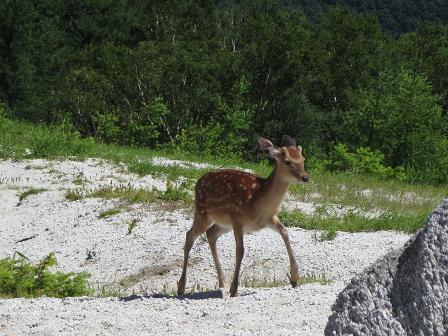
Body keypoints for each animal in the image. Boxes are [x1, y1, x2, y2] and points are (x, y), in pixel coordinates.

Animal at [177, 134, 310, 296]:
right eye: (287, 161)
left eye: (303, 159)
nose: (305, 177)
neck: (258, 201)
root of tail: (197, 182)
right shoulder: (237, 218)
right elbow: (240, 250)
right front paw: (235, 289)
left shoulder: (270, 219)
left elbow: (285, 232)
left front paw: (295, 278)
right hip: (203, 213)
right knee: (190, 235)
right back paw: (181, 287)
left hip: (223, 223)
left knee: (211, 234)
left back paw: (223, 282)